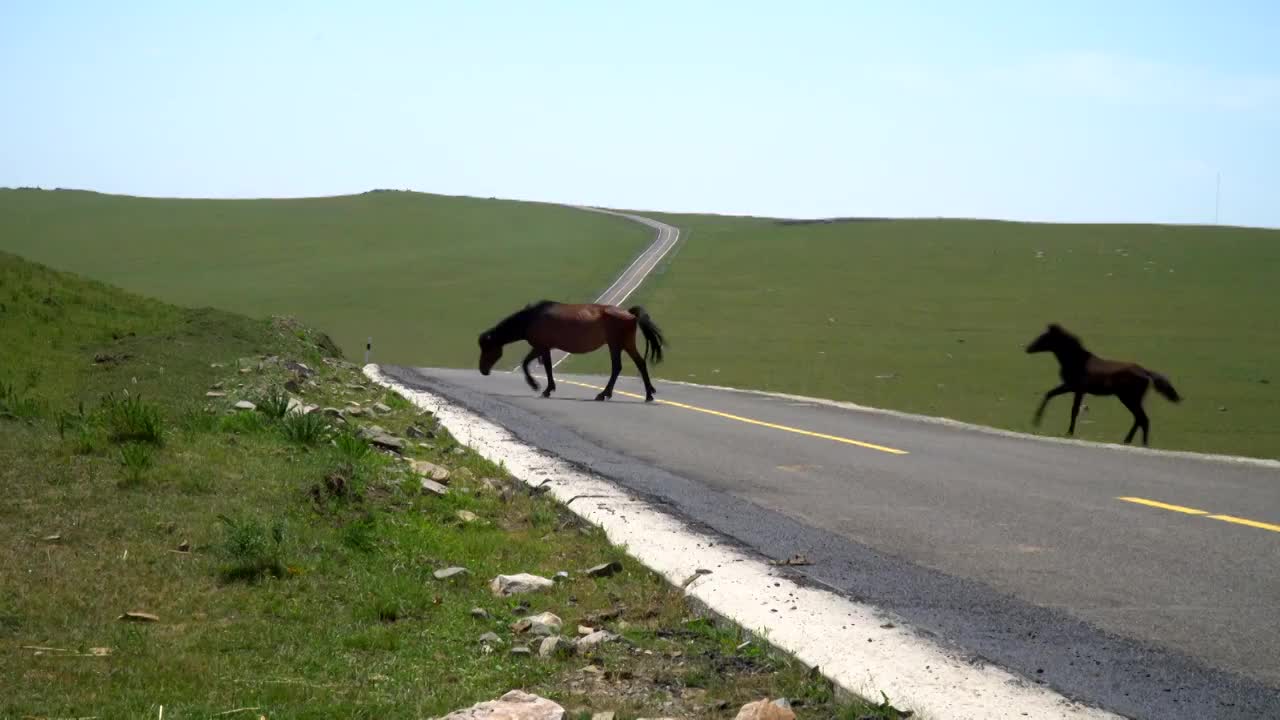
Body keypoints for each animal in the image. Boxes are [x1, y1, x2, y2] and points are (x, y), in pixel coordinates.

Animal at [476, 298, 665, 404]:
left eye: (487, 348)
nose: (483, 370)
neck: (531, 318)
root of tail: (630, 313)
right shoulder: (542, 348)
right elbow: (536, 365)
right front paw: (545, 387)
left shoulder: (542, 347)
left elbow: (535, 366)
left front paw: (540, 387)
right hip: (622, 345)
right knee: (637, 364)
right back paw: (647, 394)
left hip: (617, 344)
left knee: (620, 367)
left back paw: (606, 394)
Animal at [1029, 324, 1177, 443]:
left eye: (1044, 337)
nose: (1028, 348)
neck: (1077, 360)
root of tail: (1145, 372)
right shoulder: (1071, 387)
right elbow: (1049, 394)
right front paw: (1036, 421)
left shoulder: (1077, 388)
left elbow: (1073, 410)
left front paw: (1068, 432)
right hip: (1130, 399)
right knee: (1139, 419)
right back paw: (1129, 441)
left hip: (1129, 398)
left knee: (1143, 419)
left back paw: (1141, 444)